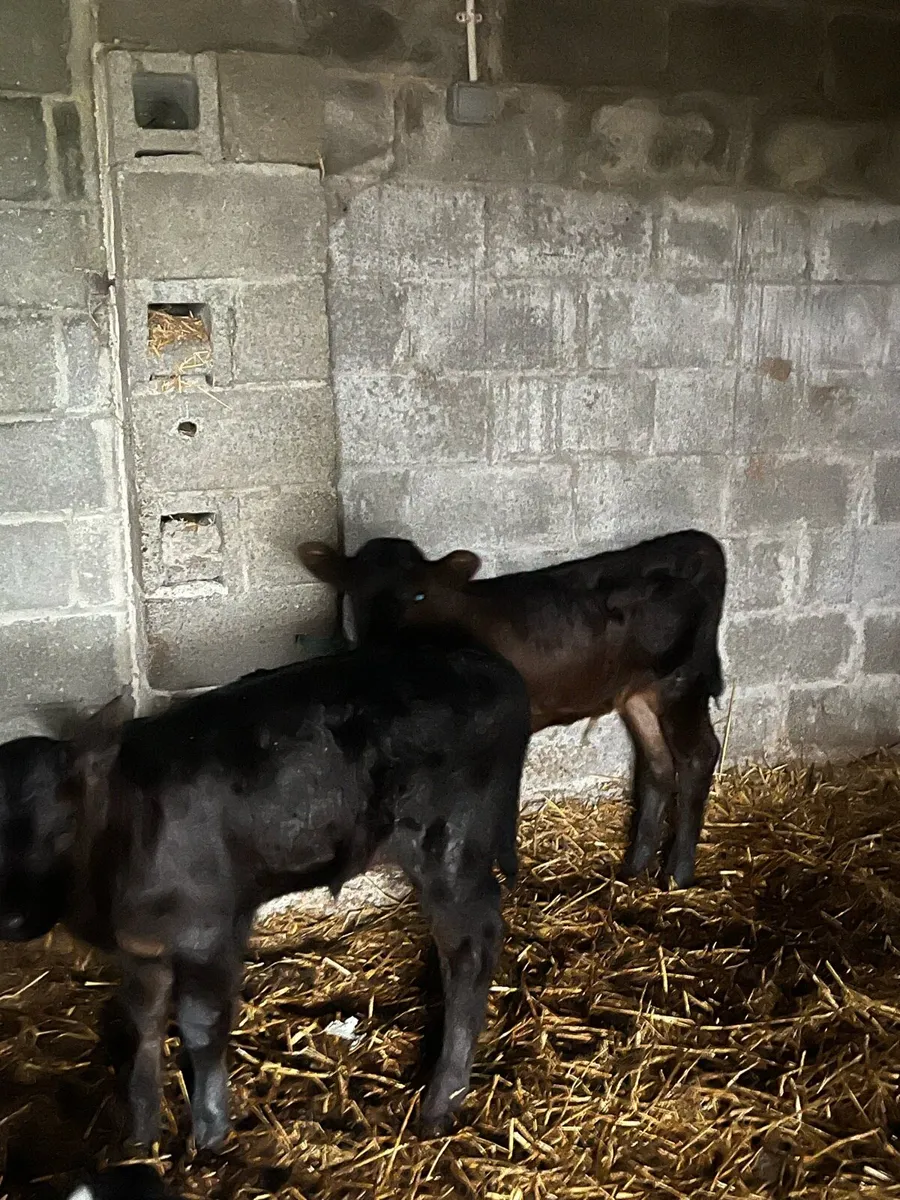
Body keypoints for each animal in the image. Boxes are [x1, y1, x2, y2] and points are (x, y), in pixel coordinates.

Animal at [0, 632, 531, 1151]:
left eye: (63, 827)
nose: (12, 919)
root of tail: (493, 667)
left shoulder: (209, 931)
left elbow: (201, 1027)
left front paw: (211, 1136)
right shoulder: (140, 950)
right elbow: (143, 1025)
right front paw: (140, 1136)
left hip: (451, 847)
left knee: (473, 949)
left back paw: (441, 1104)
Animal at [298, 529, 727, 890]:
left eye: (418, 595)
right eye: (355, 593)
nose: (381, 644)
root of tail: (697, 543)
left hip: (681, 682)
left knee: (698, 756)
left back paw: (677, 874)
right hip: (638, 692)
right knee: (657, 765)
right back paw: (634, 868)